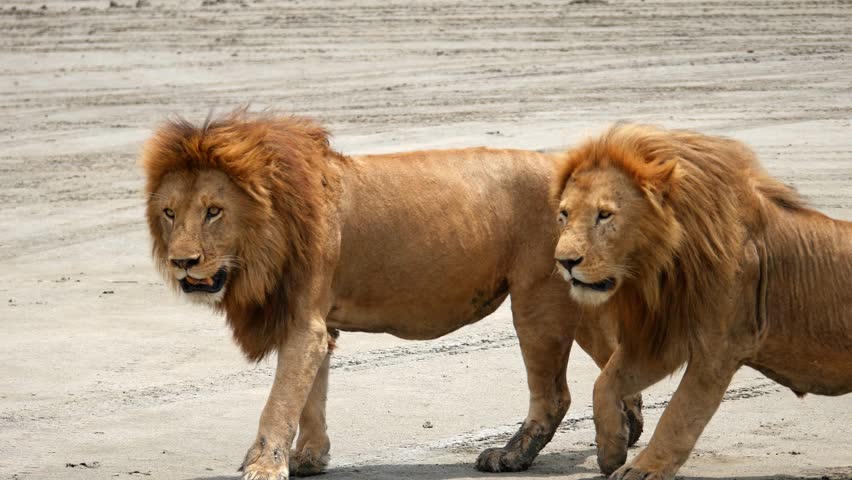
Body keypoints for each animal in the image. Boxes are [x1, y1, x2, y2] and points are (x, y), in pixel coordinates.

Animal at [141, 109, 644, 480]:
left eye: (213, 212)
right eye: (169, 213)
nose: (183, 262)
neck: (268, 235)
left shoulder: (304, 323)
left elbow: (280, 402)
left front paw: (265, 465)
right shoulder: (320, 325)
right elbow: (312, 395)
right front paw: (310, 457)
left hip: (537, 301)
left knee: (554, 395)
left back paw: (513, 456)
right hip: (578, 298)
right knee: (616, 361)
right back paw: (624, 433)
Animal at [551, 123, 852, 480]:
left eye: (605, 215)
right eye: (564, 214)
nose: (564, 261)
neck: (662, 264)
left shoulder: (720, 348)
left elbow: (681, 413)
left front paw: (642, 469)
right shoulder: (666, 337)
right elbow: (605, 383)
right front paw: (612, 449)